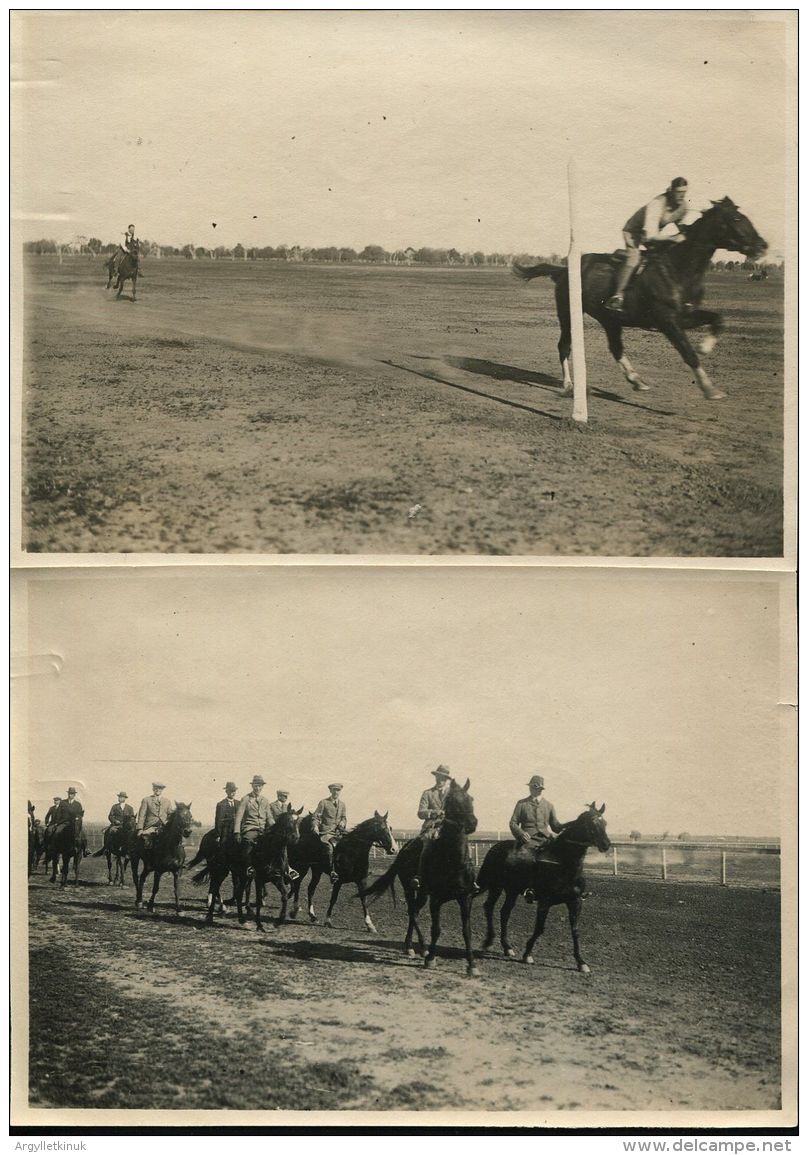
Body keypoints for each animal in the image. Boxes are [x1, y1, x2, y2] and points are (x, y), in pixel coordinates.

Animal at [360, 780, 480, 979]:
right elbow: (436, 929)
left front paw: (472, 964)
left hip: (422, 894)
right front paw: (431, 959)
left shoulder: (466, 898)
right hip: (411, 889)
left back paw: (410, 947)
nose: (472, 823)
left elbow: (467, 931)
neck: (452, 860)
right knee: (412, 912)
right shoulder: (436, 899)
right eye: (454, 801)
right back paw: (417, 948)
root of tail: (404, 848)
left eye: (471, 799)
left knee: (414, 912)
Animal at [475, 803, 609, 974]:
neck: (563, 862)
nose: (606, 844)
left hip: (511, 891)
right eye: (591, 823)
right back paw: (488, 941)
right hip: (495, 886)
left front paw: (581, 962)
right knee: (488, 907)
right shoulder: (545, 902)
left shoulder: (575, 901)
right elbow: (539, 928)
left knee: (504, 912)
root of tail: (495, 848)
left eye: (605, 823)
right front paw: (527, 954)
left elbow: (575, 930)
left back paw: (507, 947)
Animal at [514, 203, 766, 406]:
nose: (762, 245)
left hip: (610, 320)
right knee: (564, 346)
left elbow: (718, 319)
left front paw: (706, 345)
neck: (677, 268)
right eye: (736, 219)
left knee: (615, 348)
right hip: (568, 314)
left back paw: (636, 379)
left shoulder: (685, 316)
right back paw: (568, 385)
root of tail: (562, 270)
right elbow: (688, 353)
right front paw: (710, 389)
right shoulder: (667, 321)